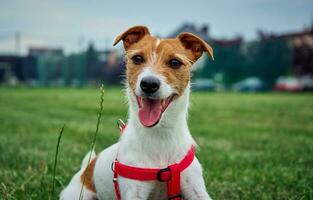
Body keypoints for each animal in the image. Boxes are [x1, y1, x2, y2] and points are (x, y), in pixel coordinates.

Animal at [59, 25, 213, 200]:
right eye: (137, 58)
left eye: (175, 62)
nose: (149, 84)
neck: (160, 135)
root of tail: (85, 170)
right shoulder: (134, 192)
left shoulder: (196, 189)